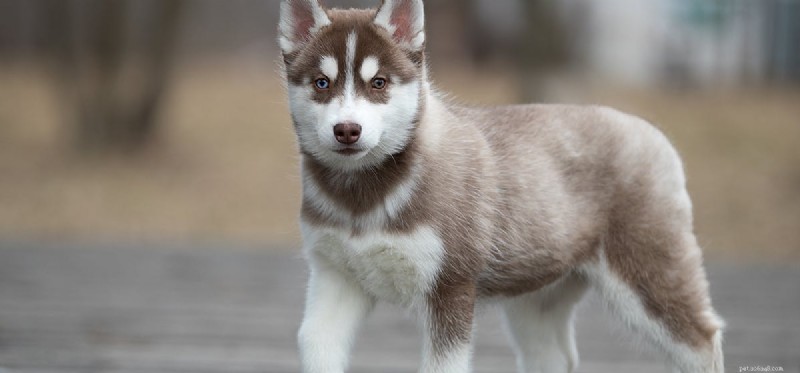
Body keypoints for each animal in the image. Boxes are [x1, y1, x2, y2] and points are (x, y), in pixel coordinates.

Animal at [282, 1, 724, 370]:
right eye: (321, 83)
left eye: (379, 83)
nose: (347, 130)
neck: (361, 197)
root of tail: (651, 130)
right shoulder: (334, 276)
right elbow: (313, 341)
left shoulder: (451, 289)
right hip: (537, 302)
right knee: (557, 357)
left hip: (651, 276)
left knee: (703, 340)